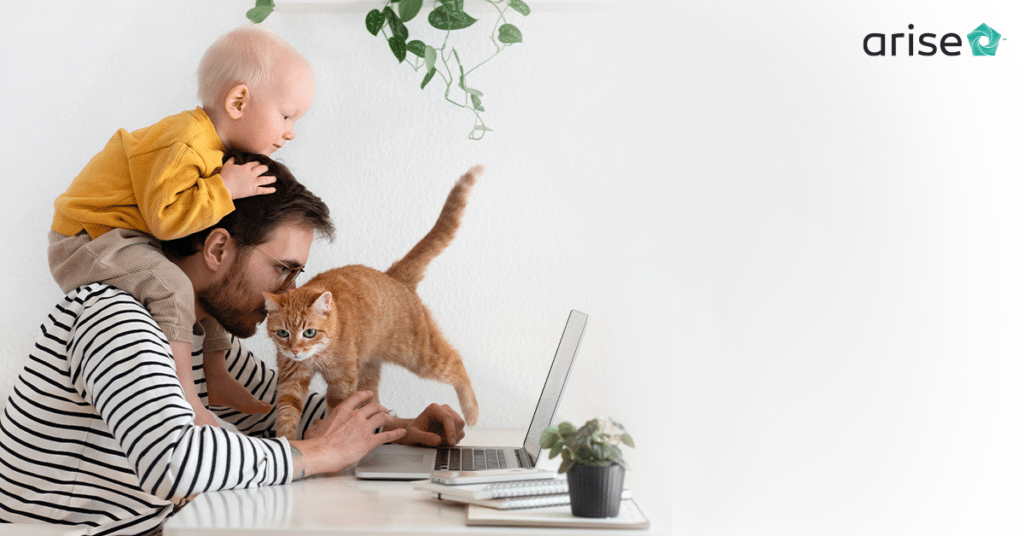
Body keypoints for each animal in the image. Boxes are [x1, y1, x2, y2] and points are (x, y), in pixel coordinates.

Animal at [268, 167, 483, 440]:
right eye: (283, 333)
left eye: (309, 332)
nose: (295, 350)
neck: (317, 354)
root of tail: (392, 275)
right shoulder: (291, 378)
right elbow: (287, 413)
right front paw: (290, 440)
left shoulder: (342, 381)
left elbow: (337, 408)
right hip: (371, 367)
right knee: (374, 401)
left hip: (419, 354)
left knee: (455, 362)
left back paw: (472, 412)